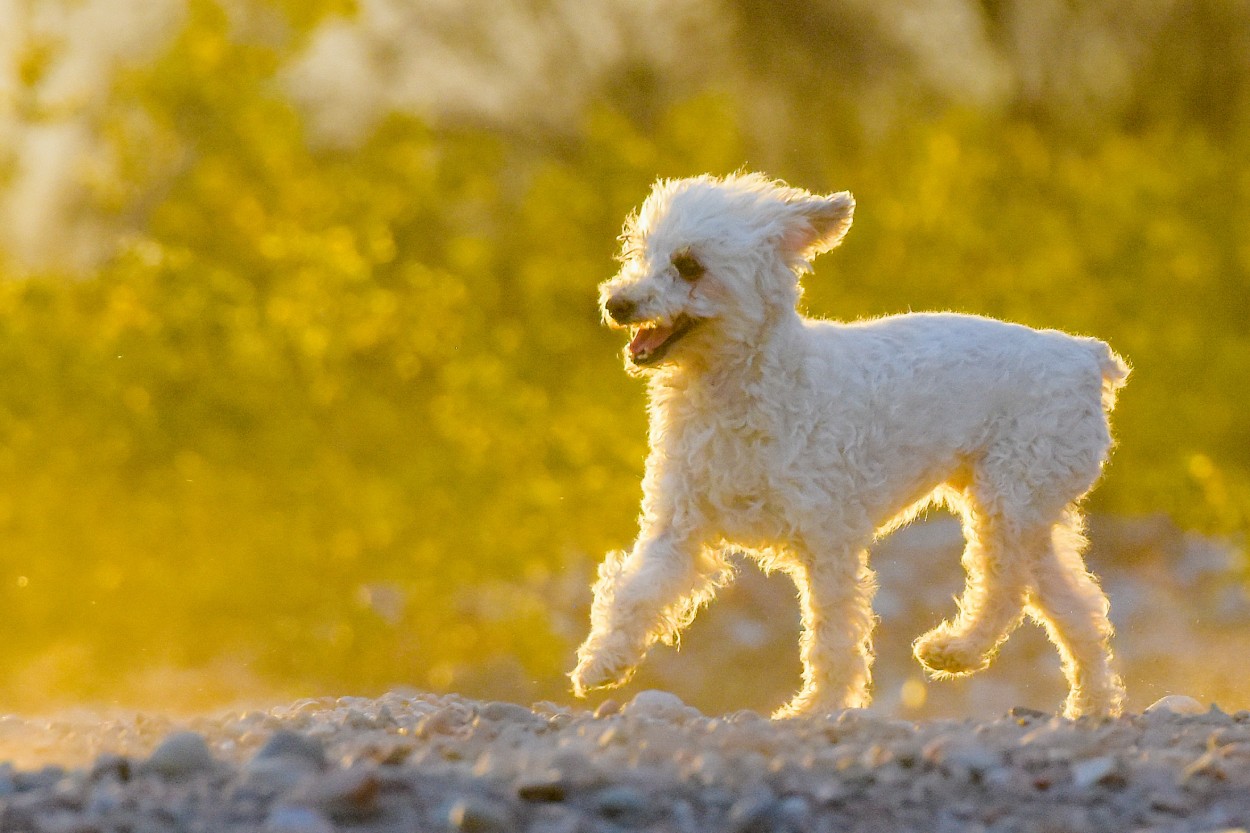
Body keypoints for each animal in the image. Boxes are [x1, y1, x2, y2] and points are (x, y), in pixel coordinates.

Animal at [572, 171, 1130, 715]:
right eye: (639, 253)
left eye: (689, 265)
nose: (616, 303)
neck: (744, 390)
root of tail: (1086, 357)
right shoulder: (679, 529)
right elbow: (635, 593)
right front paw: (602, 662)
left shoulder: (829, 543)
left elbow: (833, 636)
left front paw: (820, 707)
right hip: (1027, 509)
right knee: (1077, 609)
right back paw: (1091, 704)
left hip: (1010, 501)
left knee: (1006, 589)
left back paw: (957, 650)